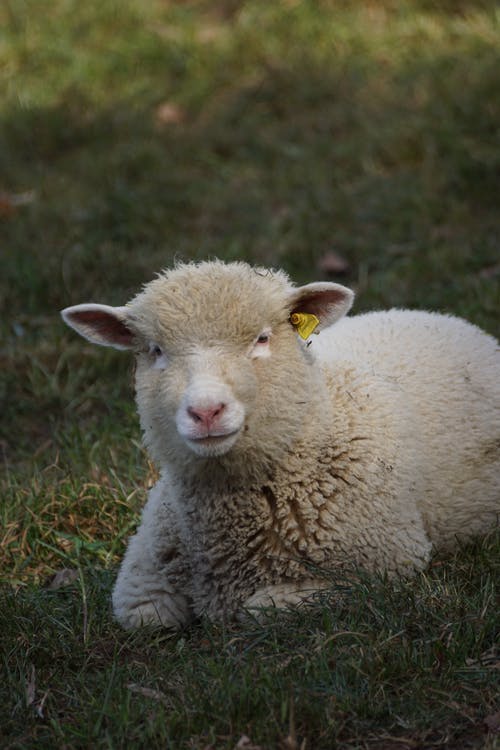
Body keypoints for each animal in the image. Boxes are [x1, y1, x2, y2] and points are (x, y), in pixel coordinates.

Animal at [61, 260, 500, 628]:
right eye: (155, 351)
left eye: (262, 339)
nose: (206, 411)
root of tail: (440, 316)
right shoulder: (140, 578)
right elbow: (147, 617)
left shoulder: (384, 562)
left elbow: (259, 609)